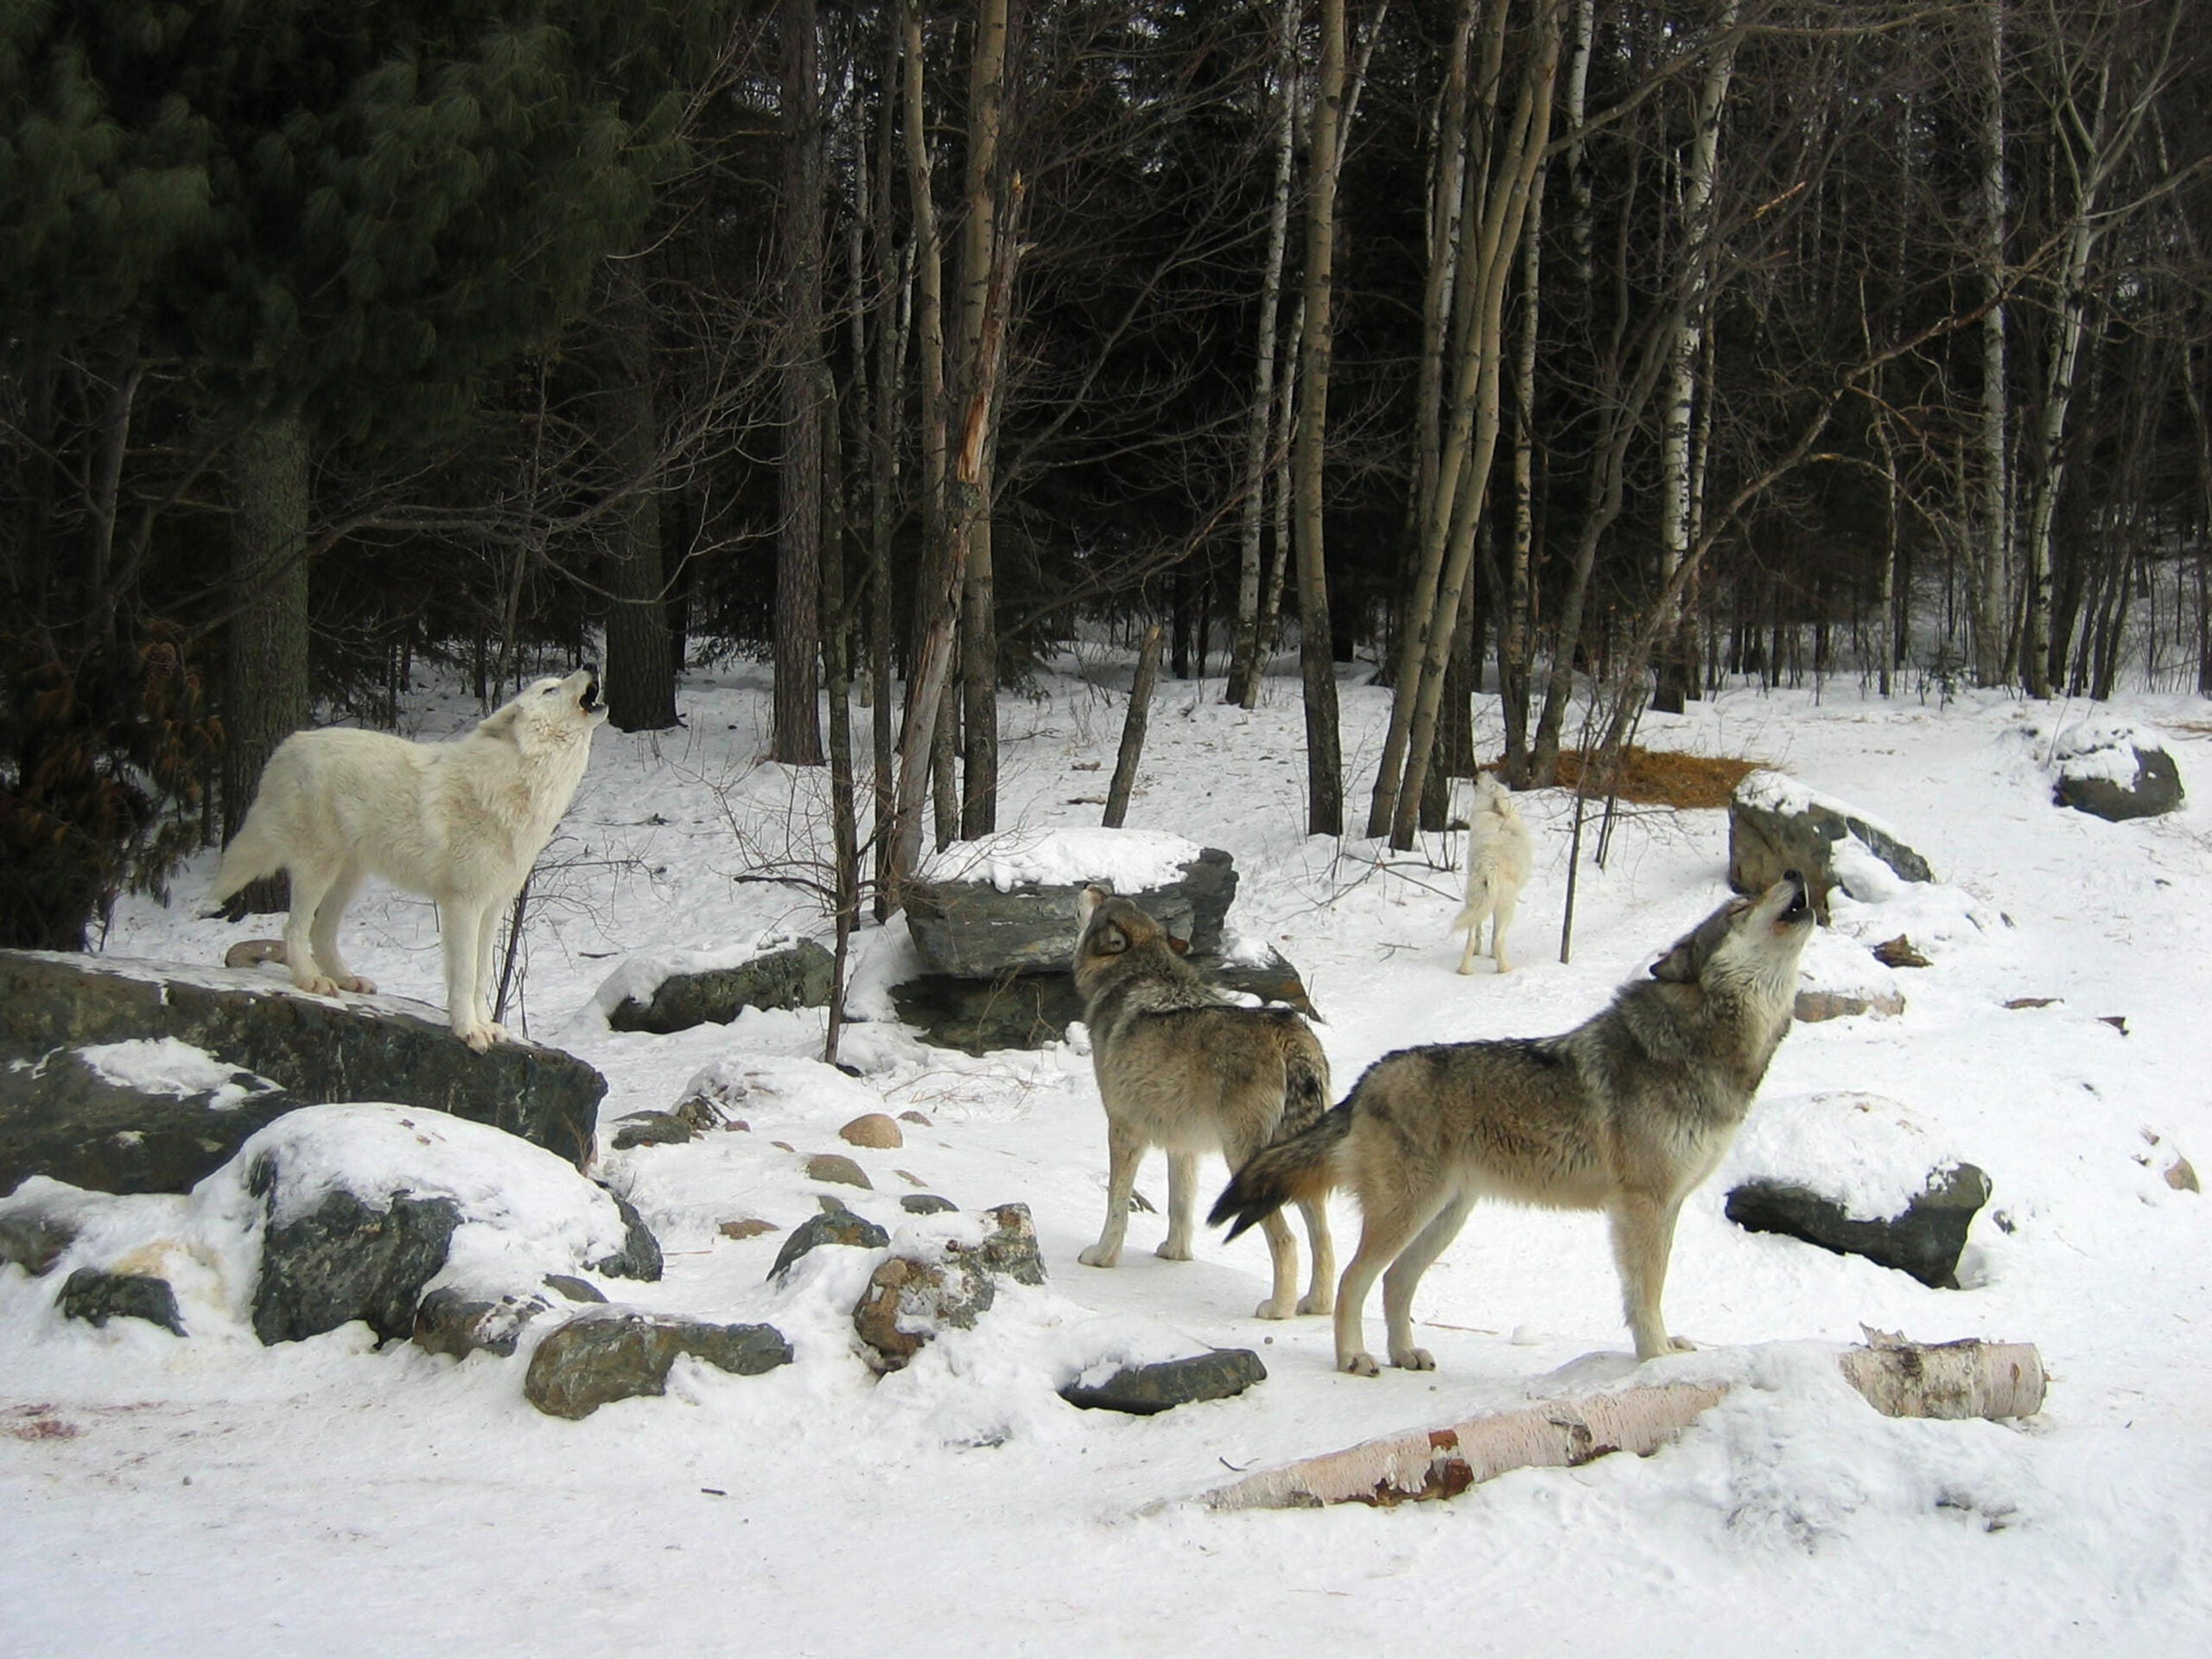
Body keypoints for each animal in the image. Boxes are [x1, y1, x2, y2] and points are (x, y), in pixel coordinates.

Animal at [207, 667, 607, 1050]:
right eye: (550, 689)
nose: (591, 665)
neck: (522, 784)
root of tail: (291, 743)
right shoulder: (463, 904)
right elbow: (465, 976)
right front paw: (469, 1031)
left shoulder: (493, 906)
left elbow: (482, 977)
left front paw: (488, 1026)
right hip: (318, 869)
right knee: (294, 929)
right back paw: (312, 981)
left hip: (349, 880)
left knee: (321, 932)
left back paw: (347, 979)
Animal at [1073, 887, 1336, 1319]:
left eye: (1104, 902)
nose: (1092, 885)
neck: (1137, 972)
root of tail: (1290, 1034)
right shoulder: (1182, 1145)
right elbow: (1180, 1206)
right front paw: (1175, 1254)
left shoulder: (1124, 1130)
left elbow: (1116, 1204)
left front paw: (1101, 1257)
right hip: (1297, 1166)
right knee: (1325, 1241)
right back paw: (1315, 1305)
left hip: (1244, 1163)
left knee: (1288, 1240)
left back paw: (1277, 1309)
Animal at [1211, 872, 1813, 1373]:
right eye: (1740, 907)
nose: (1795, 873)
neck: (1703, 1046)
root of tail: (1371, 1076)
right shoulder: (1644, 1206)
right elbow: (1645, 1292)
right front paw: (1655, 1358)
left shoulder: (1670, 1206)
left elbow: (1655, 1288)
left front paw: (1666, 1348)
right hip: (1407, 1213)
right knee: (1354, 1280)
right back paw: (1354, 1359)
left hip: (1445, 1217)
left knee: (1395, 1282)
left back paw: (1405, 1354)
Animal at [1452, 772, 1533, 975]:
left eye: (1492, 784)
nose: (1479, 773)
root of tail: (1488, 866)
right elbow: (1495, 931)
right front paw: (1492, 957)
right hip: (1508, 908)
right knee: (1498, 939)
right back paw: (1505, 969)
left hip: (1473, 903)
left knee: (1470, 939)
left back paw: (1465, 969)